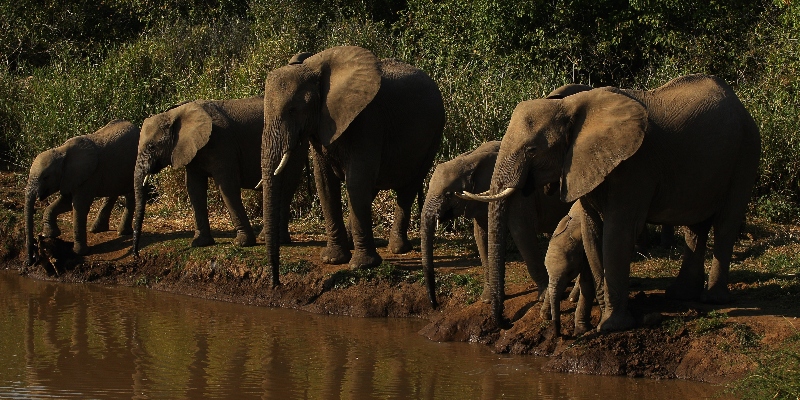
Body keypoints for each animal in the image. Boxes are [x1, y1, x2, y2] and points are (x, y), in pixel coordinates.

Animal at [24, 120, 140, 264]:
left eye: (46, 177)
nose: (30, 261)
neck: (62, 151)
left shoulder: (88, 176)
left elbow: (79, 206)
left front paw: (81, 252)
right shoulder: (70, 178)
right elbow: (66, 203)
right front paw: (50, 234)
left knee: (129, 194)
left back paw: (122, 232)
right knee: (113, 192)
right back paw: (97, 229)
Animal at [131, 96, 306, 256]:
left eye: (151, 147)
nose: (136, 254)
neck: (175, 113)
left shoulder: (222, 143)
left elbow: (227, 187)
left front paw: (241, 243)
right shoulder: (194, 151)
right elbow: (194, 189)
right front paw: (199, 243)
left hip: (293, 148)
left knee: (286, 188)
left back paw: (272, 239)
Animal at [264, 46, 450, 284]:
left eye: (293, 109)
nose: (276, 282)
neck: (314, 69)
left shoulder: (367, 120)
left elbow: (356, 182)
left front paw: (362, 265)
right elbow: (325, 184)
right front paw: (333, 260)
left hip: (433, 135)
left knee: (407, 188)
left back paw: (398, 249)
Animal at [460, 75, 760, 332]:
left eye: (532, 150)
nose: (504, 323)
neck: (570, 106)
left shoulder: (635, 165)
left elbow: (618, 232)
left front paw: (611, 326)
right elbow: (593, 232)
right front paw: (604, 314)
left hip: (746, 151)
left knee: (726, 223)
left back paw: (713, 299)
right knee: (695, 228)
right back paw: (680, 294)